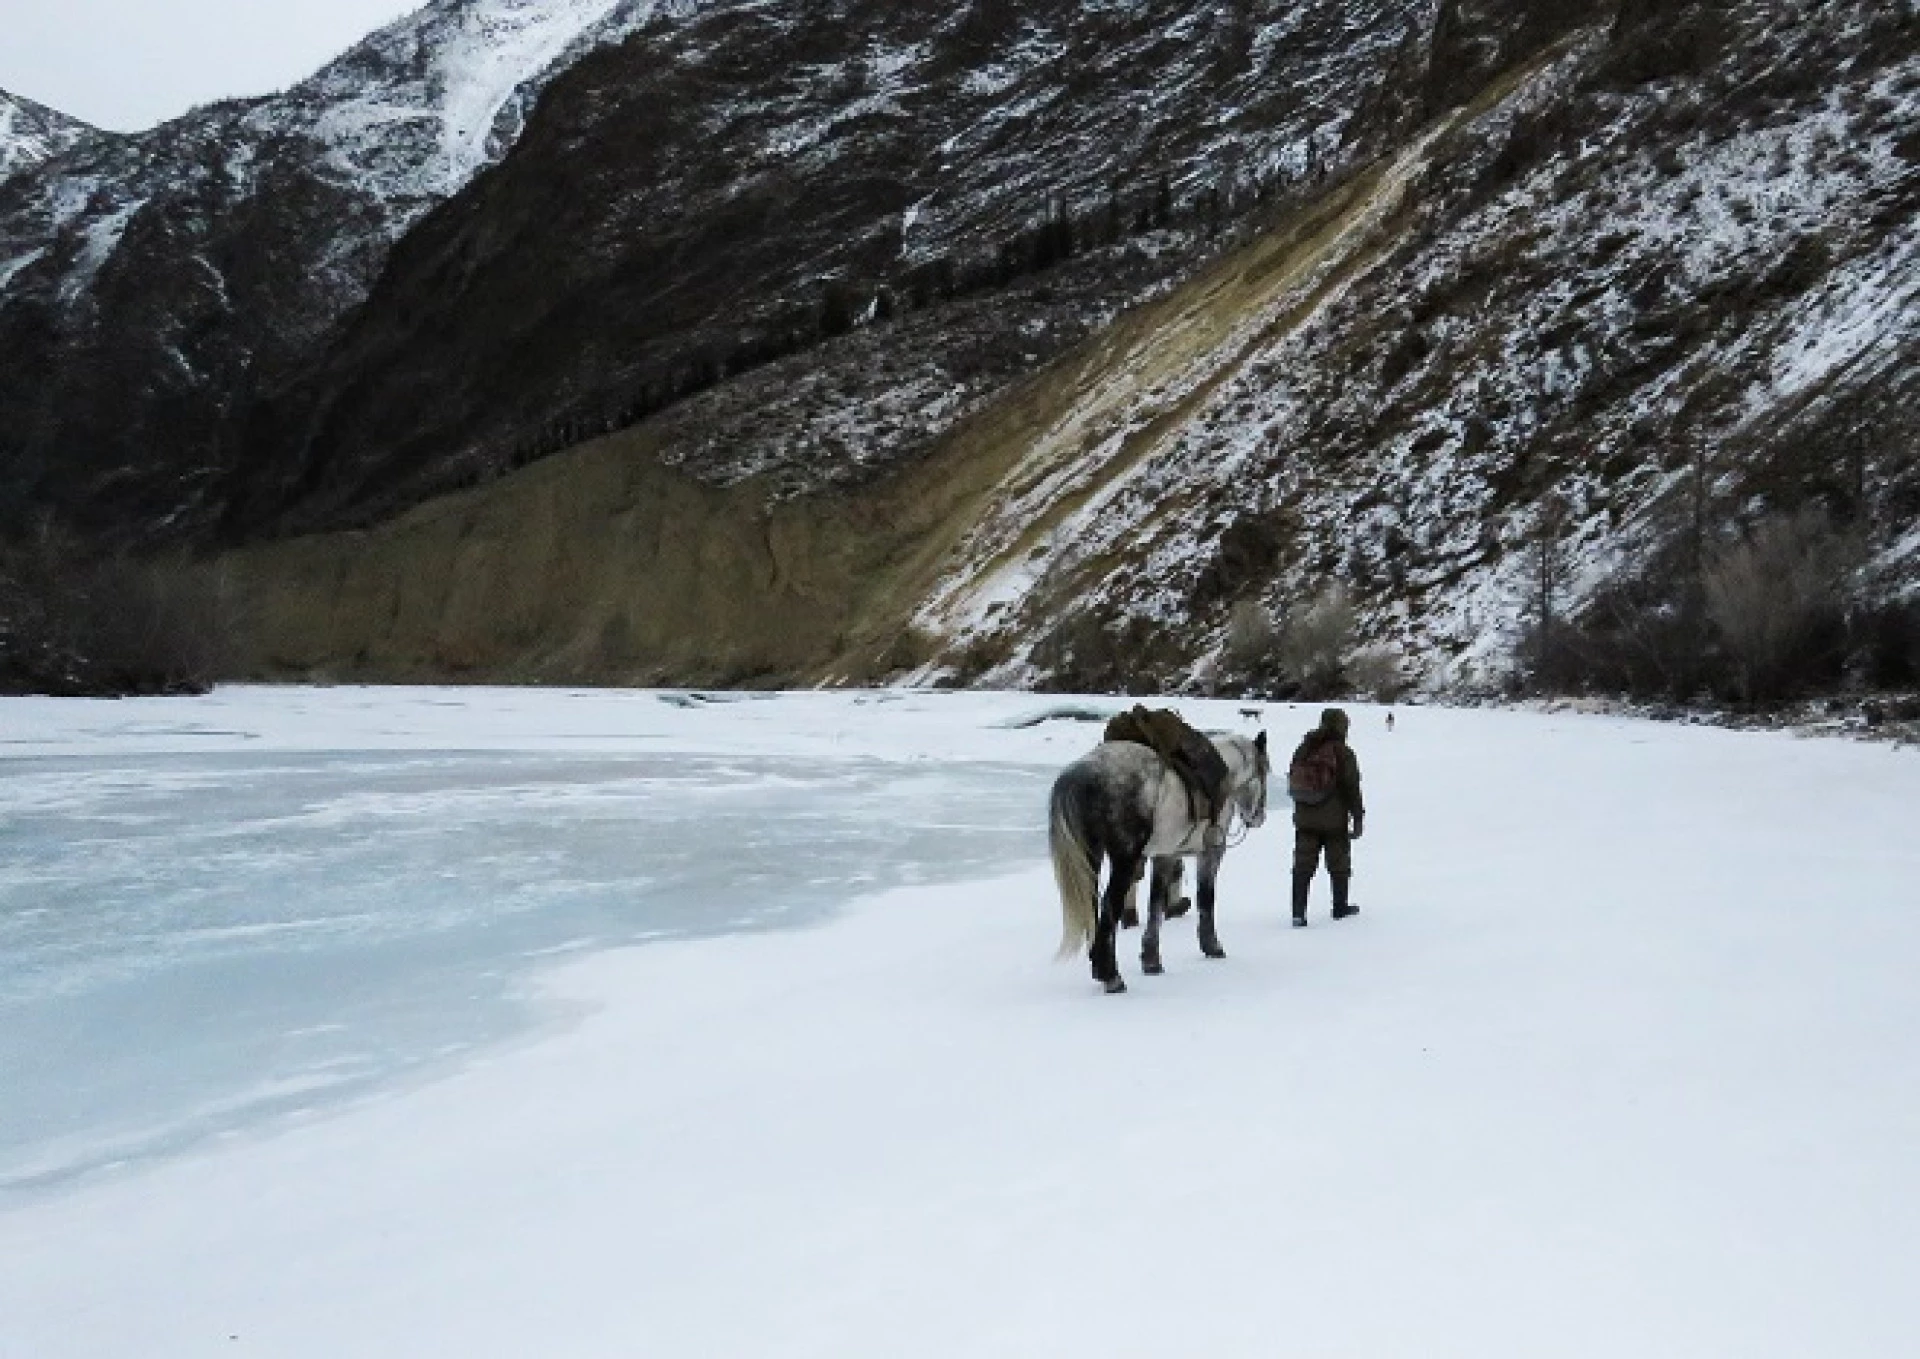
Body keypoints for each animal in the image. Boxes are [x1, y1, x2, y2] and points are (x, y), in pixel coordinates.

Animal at [1044, 737, 1267, 990]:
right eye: (1265, 771)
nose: (1259, 817)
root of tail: (1082, 771)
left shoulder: (1164, 857)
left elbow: (1156, 905)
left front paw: (1151, 960)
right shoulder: (1210, 854)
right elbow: (1205, 899)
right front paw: (1212, 946)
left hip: (1091, 856)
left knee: (1093, 904)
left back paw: (1099, 967)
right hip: (1125, 860)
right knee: (1110, 906)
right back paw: (1111, 975)